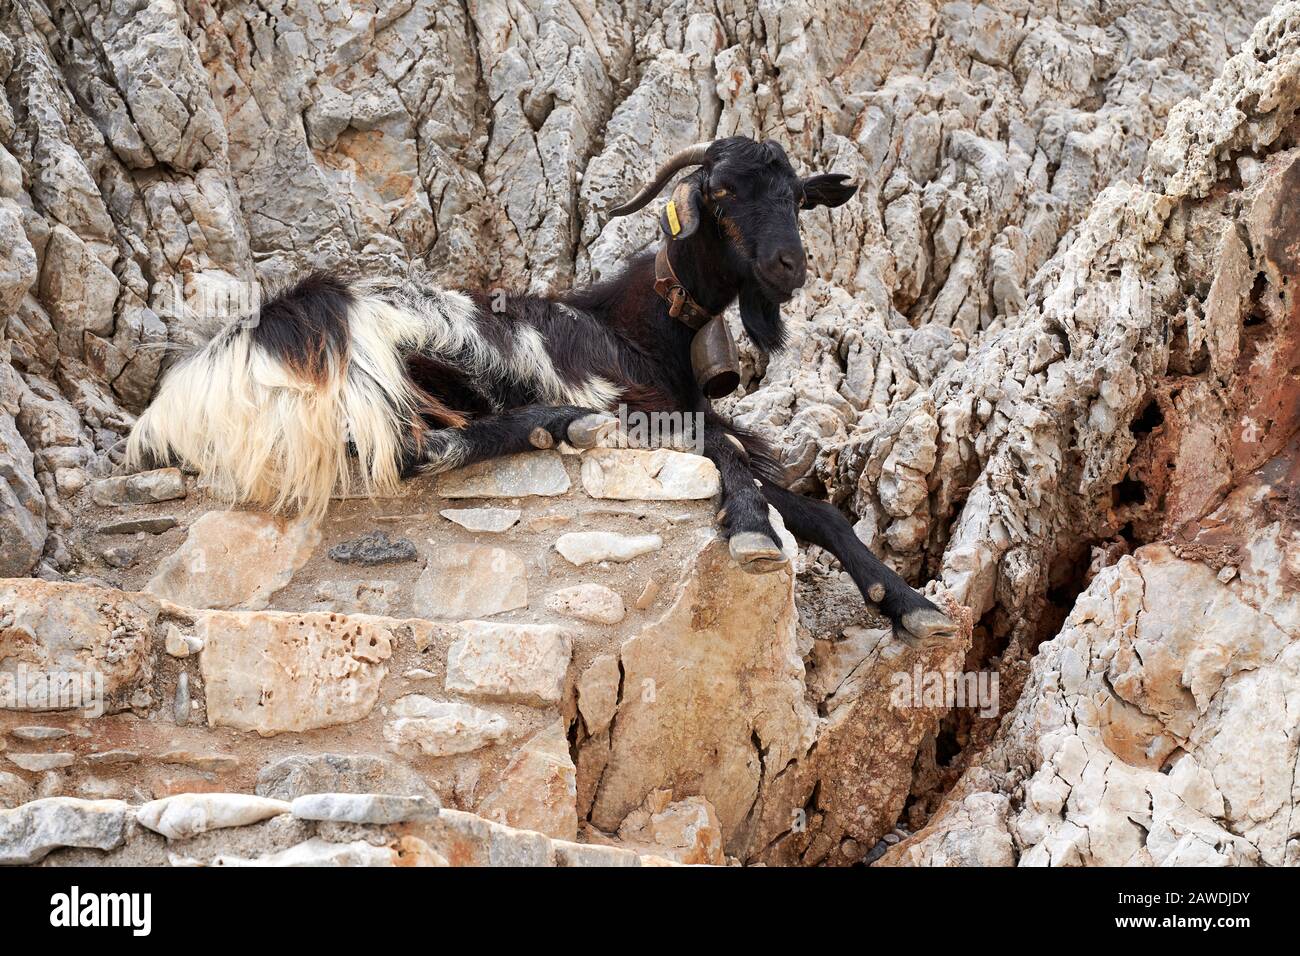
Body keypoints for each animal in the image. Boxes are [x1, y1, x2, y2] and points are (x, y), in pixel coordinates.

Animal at [129, 134, 956, 647]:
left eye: (797, 197)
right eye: (719, 193)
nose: (788, 267)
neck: (637, 325)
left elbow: (819, 513)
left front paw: (913, 606)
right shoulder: (645, 411)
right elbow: (728, 457)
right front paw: (751, 527)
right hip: (388, 358)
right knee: (418, 449)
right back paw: (562, 425)